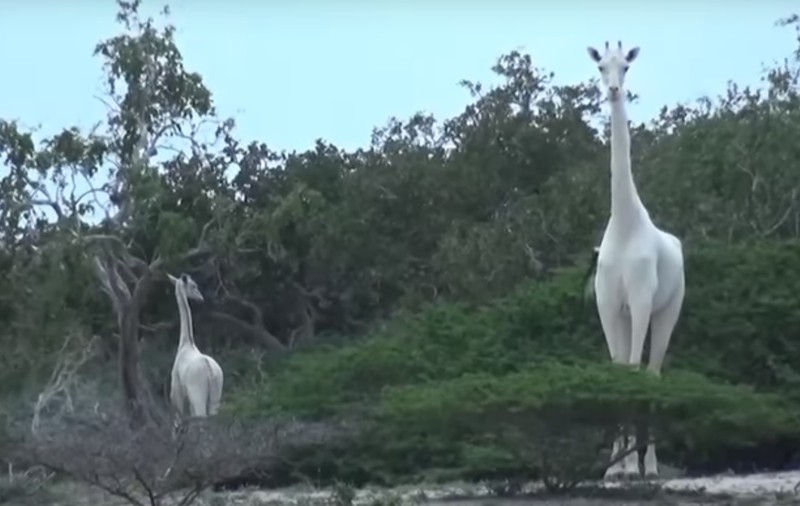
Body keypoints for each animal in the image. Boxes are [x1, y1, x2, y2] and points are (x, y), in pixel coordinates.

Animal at [167, 273, 224, 418]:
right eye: (194, 286)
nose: (201, 298)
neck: (185, 343)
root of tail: (210, 371)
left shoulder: (177, 393)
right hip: (215, 396)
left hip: (197, 395)